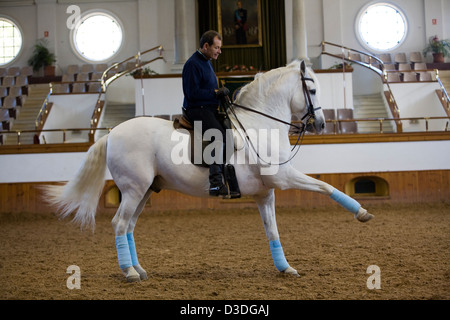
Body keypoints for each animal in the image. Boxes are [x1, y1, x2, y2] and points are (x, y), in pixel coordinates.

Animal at [43, 60, 372, 282]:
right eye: (312, 89)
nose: (322, 124)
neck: (261, 125)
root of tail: (111, 134)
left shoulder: (265, 193)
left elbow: (273, 231)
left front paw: (285, 267)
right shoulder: (283, 177)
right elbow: (326, 186)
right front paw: (361, 212)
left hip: (144, 192)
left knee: (129, 226)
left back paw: (138, 268)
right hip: (134, 189)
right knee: (119, 224)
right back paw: (129, 272)